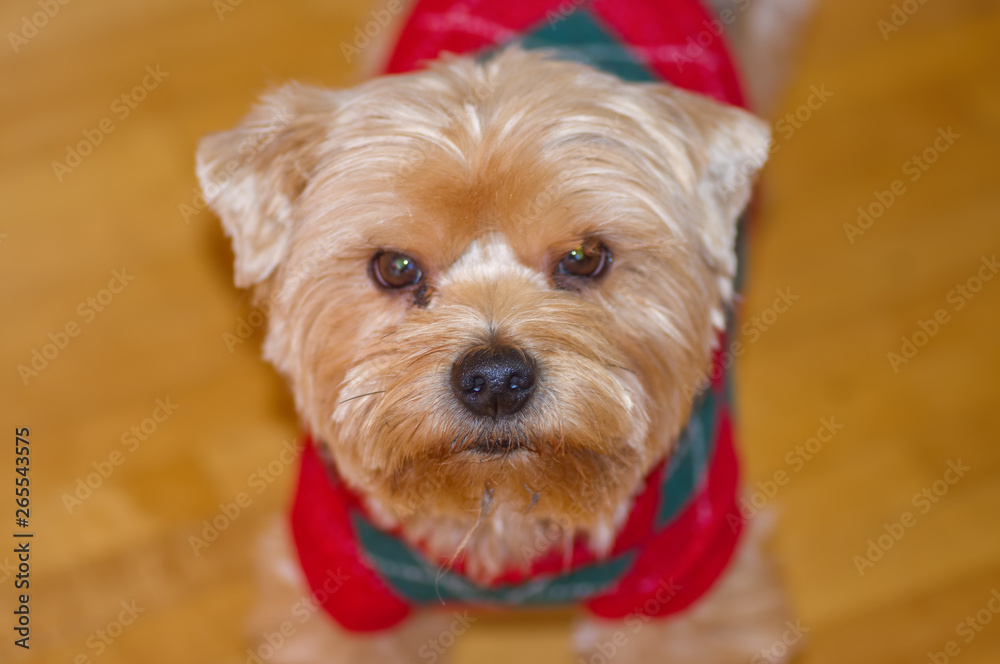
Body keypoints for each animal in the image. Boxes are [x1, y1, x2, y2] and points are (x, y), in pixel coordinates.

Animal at [197, 1, 812, 664]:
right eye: (396, 267)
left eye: (584, 257)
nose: (494, 380)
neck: (501, 508)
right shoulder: (341, 581)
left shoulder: (691, 581)